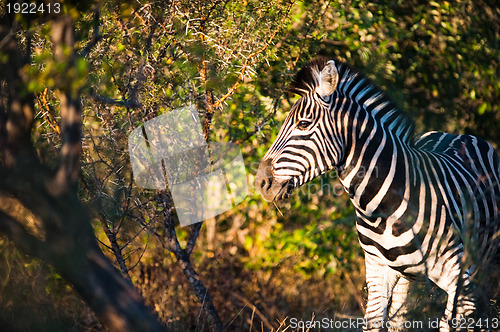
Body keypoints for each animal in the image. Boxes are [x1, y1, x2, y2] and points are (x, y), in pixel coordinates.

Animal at [256, 58, 498, 330]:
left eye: (303, 124)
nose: (260, 181)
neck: (383, 209)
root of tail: (459, 134)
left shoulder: (459, 281)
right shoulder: (376, 270)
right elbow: (374, 321)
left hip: (480, 264)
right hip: (407, 277)